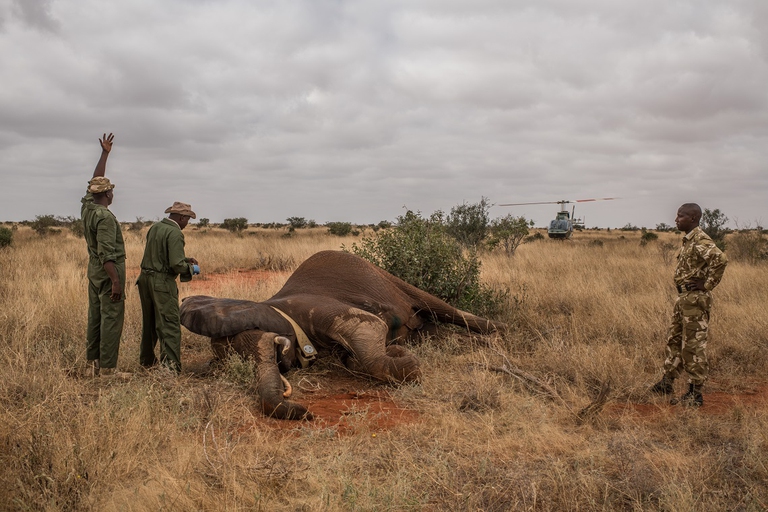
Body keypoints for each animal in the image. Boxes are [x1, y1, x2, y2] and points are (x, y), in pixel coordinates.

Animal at [180, 250, 506, 420]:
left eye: (268, 349)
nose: (307, 412)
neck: (275, 306)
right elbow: (351, 359)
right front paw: (398, 352)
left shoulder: (314, 307)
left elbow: (370, 327)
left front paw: (406, 361)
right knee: (435, 332)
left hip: (389, 278)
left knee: (442, 308)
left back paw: (497, 335)